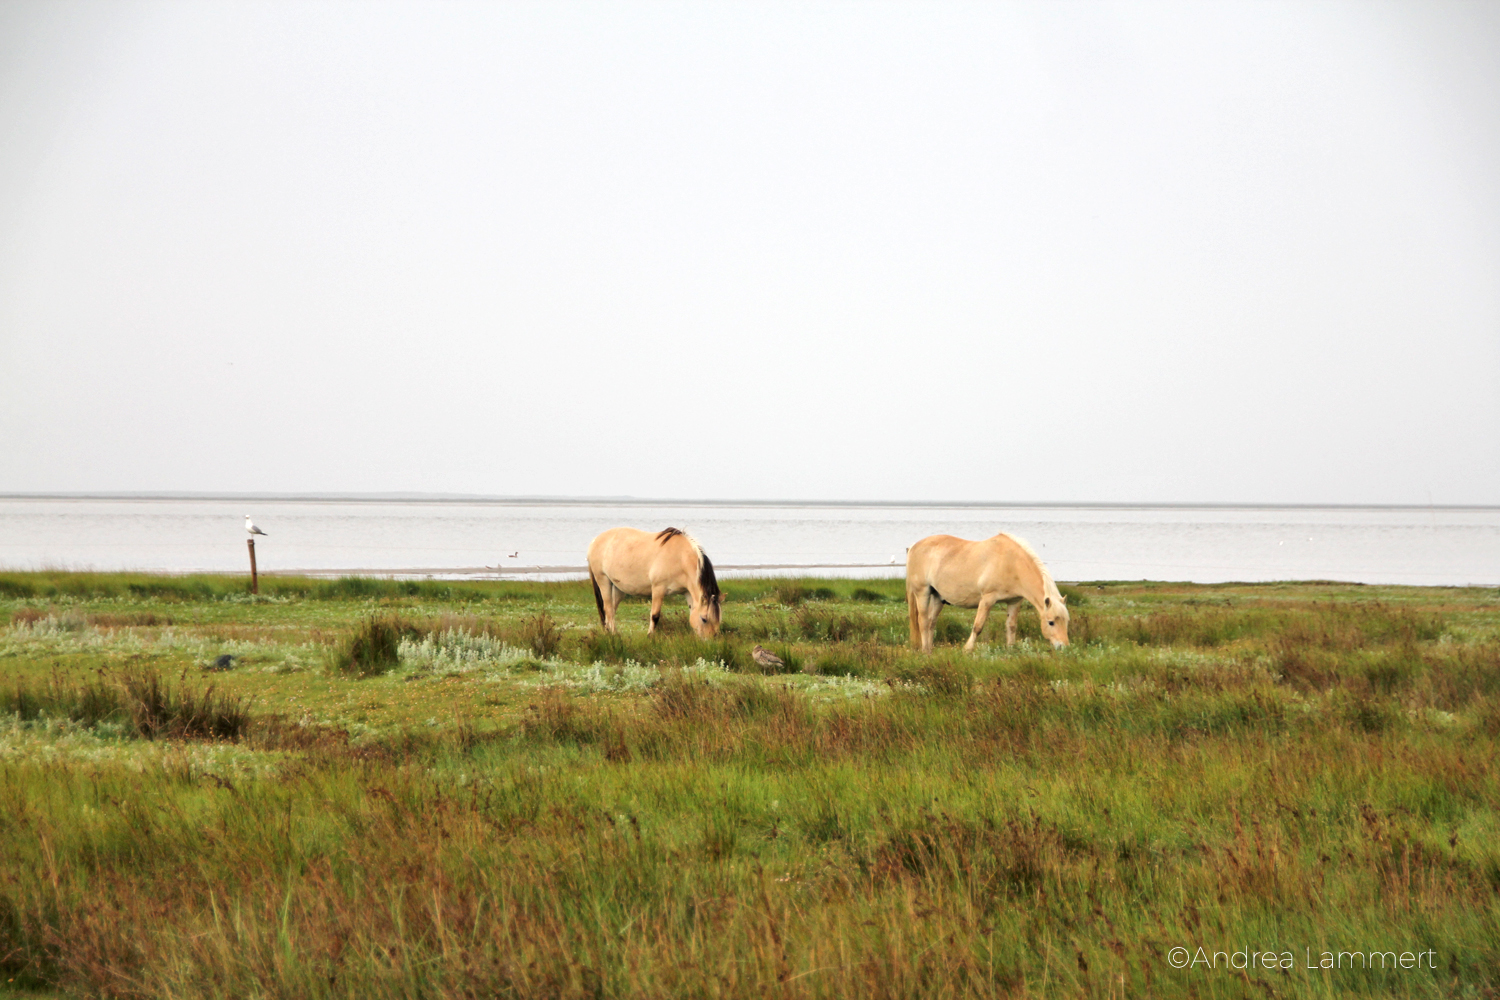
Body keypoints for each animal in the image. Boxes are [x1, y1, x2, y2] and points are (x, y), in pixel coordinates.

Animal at [588, 527, 723, 638]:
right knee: (608, 609)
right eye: (704, 619)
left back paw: (609, 632)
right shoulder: (658, 589)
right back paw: (614, 634)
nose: (710, 641)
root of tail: (595, 540)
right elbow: (655, 615)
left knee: (611, 610)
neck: (680, 558)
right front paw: (650, 636)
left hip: (617, 588)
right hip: (603, 580)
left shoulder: (688, 592)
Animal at [900, 536, 1068, 653]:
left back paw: (930, 650)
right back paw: (924, 651)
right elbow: (978, 626)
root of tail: (913, 547)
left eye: (1066, 622)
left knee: (931, 622)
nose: (1063, 646)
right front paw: (967, 649)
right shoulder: (988, 599)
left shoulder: (1014, 601)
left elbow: (1011, 626)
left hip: (938, 598)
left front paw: (1011, 649)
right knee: (923, 621)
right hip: (923, 593)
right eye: (1051, 622)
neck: (1011, 563)